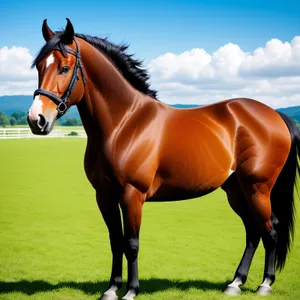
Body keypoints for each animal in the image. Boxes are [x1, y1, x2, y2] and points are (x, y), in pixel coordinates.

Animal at [27, 19, 298, 300]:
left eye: (65, 67)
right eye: (40, 66)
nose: (37, 120)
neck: (125, 122)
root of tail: (275, 115)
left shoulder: (132, 195)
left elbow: (131, 243)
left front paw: (131, 291)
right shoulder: (104, 196)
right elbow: (115, 241)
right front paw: (111, 289)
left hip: (258, 188)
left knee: (271, 229)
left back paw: (265, 284)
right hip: (236, 190)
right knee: (254, 231)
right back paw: (235, 283)